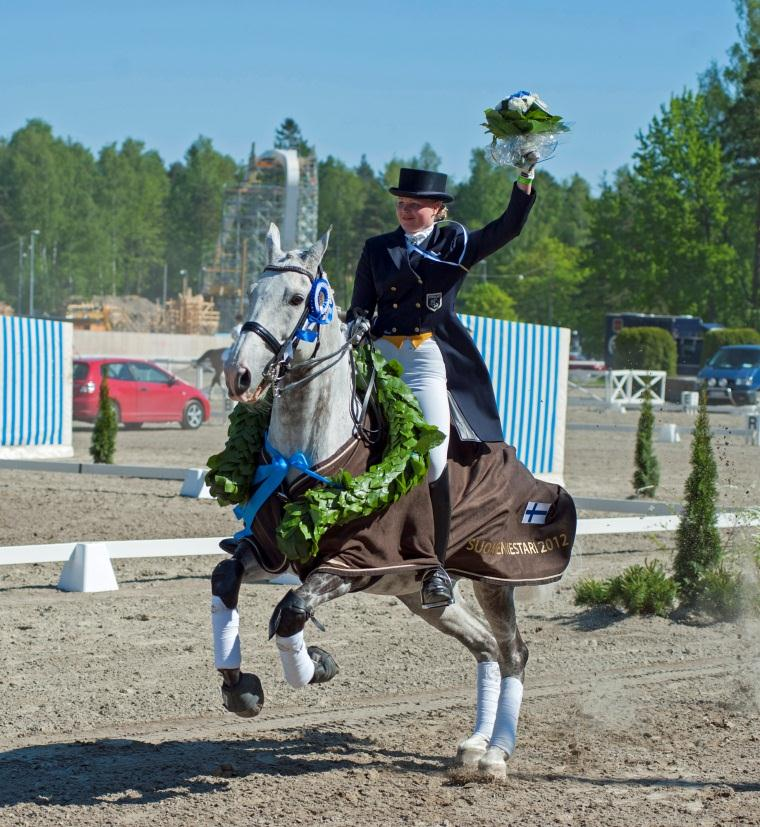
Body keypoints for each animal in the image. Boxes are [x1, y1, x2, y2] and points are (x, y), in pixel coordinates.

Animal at [211, 223, 532, 780]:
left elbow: (292, 610)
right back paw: (473, 745)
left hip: (494, 577)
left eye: (295, 298)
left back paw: (496, 755)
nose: (239, 375)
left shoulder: (353, 564)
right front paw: (241, 690)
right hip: (419, 596)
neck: (306, 449)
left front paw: (316, 664)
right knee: (486, 646)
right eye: (250, 292)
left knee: (513, 650)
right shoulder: (271, 552)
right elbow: (225, 579)